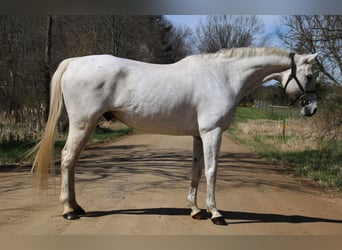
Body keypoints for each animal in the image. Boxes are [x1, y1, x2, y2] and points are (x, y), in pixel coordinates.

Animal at [32, 46, 318, 225]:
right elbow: (212, 171)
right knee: (67, 158)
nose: (312, 109)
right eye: (310, 75)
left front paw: (196, 210)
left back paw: (76, 206)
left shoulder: (199, 135)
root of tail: (75, 62)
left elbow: (196, 171)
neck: (224, 76)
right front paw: (216, 213)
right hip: (83, 123)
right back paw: (69, 210)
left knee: (72, 162)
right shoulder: (212, 132)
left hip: (86, 125)